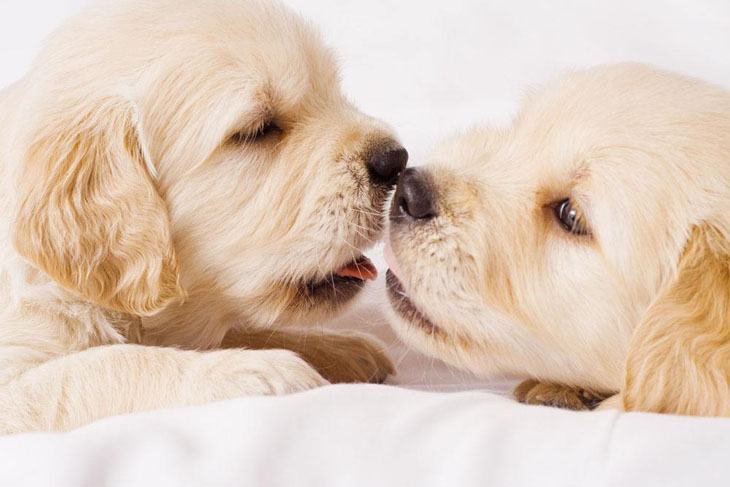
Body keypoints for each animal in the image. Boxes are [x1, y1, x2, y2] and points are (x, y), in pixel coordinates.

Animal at [0, 0, 406, 434]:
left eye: (332, 93)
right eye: (256, 130)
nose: (396, 161)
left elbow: (244, 331)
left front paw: (340, 349)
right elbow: (104, 365)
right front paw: (259, 370)